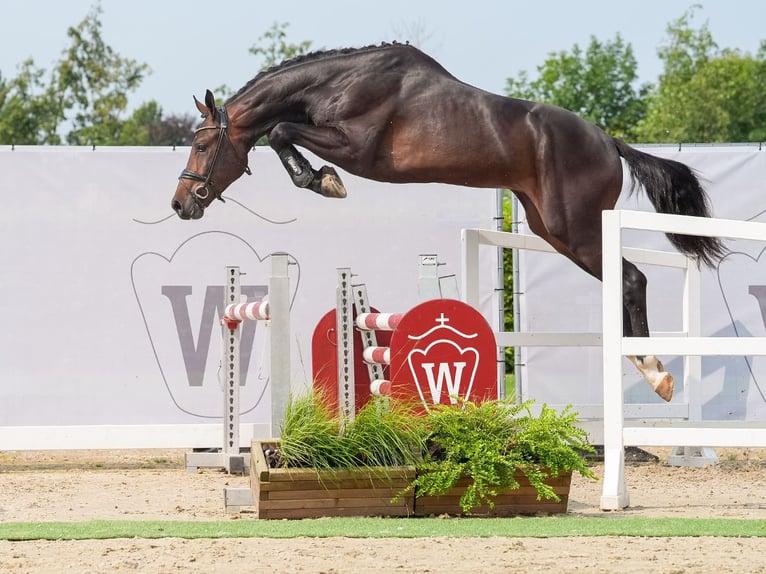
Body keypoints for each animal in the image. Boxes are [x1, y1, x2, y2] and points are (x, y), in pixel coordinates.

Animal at [172, 42, 728, 402]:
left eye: (201, 144)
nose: (181, 203)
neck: (339, 83)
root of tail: (608, 142)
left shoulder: (355, 147)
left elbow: (282, 130)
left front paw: (321, 179)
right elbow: (282, 131)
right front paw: (317, 177)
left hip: (575, 228)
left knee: (632, 278)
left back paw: (653, 370)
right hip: (552, 229)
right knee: (621, 277)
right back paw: (642, 364)